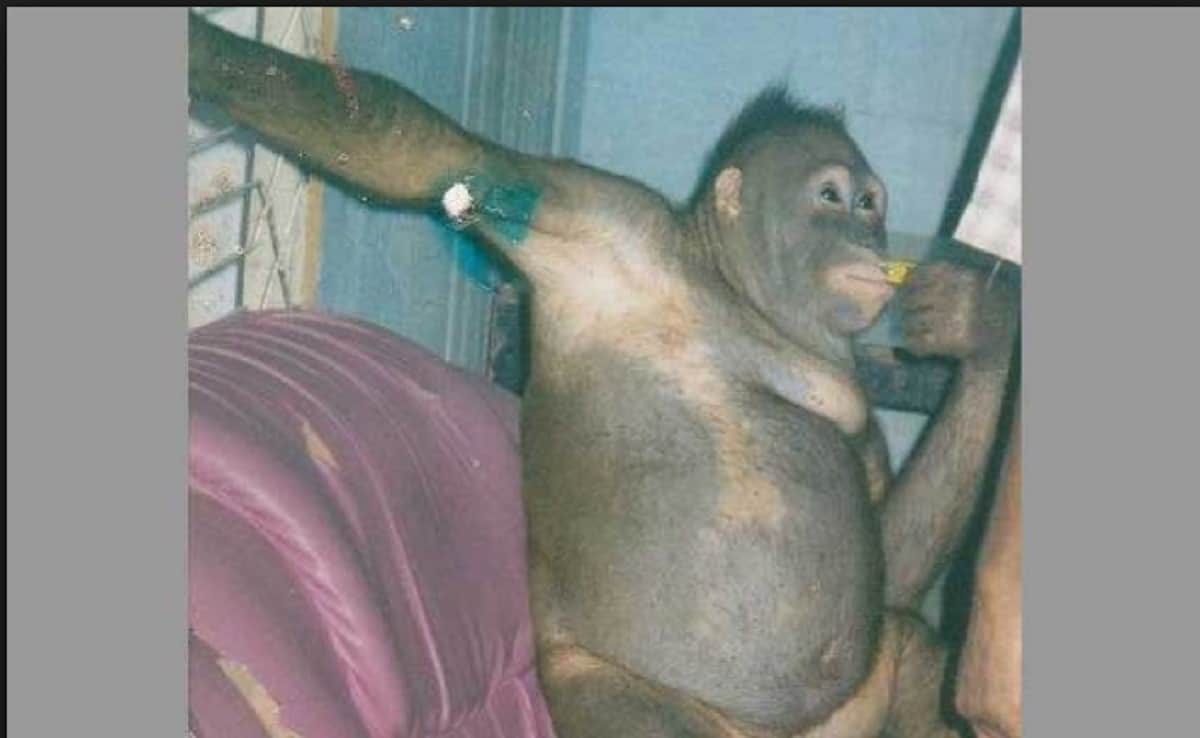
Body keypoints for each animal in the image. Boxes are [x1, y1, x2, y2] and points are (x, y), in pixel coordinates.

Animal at [188, 14, 1019, 738]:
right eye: (831, 197)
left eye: (872, 203)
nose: (867, 233)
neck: (738, 291)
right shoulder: (605, 217)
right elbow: (431, 155)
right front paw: (202, 49)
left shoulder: (859, 410)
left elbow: (891, 557)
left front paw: (983, 333)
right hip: (624, 699)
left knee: (908, 645)